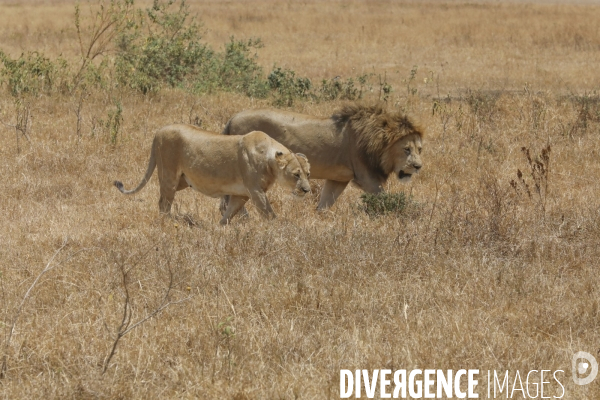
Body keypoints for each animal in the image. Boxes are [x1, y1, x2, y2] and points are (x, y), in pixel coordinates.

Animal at [113, 124, 312, 223]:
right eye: (296, 175)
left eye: (308, 174)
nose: (307, 190)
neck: (270, 161)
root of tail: (159, 131)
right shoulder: (256, 191)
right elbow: (269, 214)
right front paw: (280, 231)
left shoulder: (242, 194)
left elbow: (228, 214)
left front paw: (220, 228)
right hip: (169, 174)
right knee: (164, 203)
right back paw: (167, 223)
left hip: (181, 181)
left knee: (162, 200)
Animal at [223, 103, 424, 209]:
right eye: (406, 149)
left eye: (419, 149)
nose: (418, 166)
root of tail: (232, 118)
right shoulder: (367, 179)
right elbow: (387, 200)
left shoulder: (338, 179)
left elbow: (325, 204)